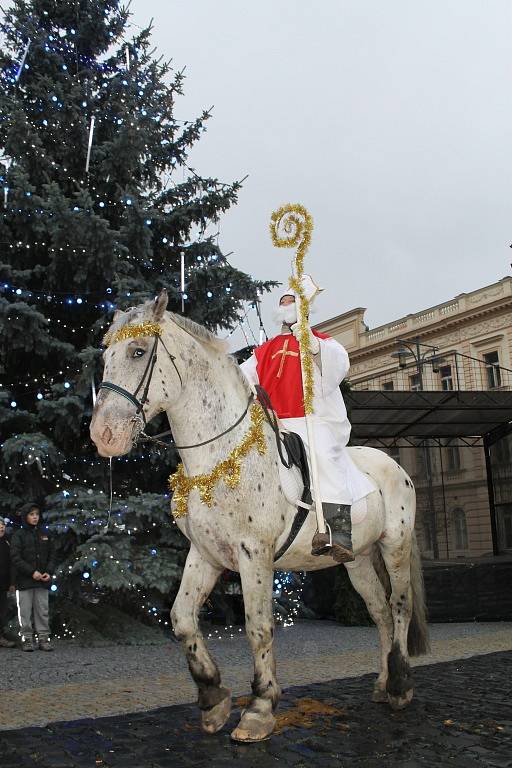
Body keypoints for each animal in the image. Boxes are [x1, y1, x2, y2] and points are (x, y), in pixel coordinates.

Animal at [91, 290, 428, 744]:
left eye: (138, 351)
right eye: (105, 355)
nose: (103, 435)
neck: (220, 458)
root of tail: (393, 465)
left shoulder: (254, 555)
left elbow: (259, 626)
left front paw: (260, 707)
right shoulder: (205, 554)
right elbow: (182, 619)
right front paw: (213, 697)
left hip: (395, 545)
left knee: (399, 605)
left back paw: (400, 685)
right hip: (356, 560)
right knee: (379, 612)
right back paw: (381, 682)